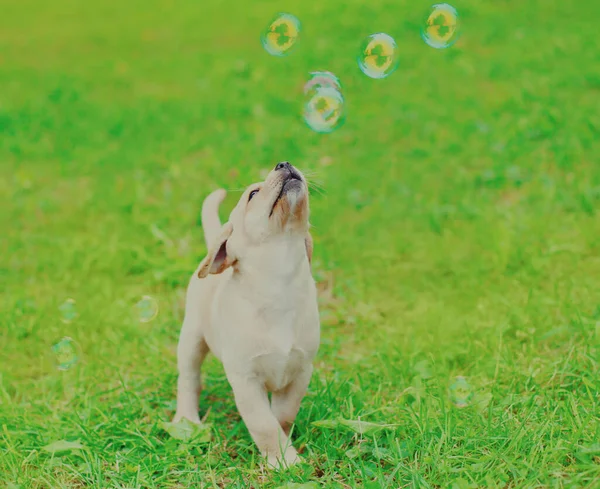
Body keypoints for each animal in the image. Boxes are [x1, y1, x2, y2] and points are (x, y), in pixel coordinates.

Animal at [173, 162, 322, 468]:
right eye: (253, 194)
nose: (284, 163)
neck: (279, 279)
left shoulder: (301, 371)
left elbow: (282, 416)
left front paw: (284, 448)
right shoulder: (246, 379)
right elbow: (264, 424)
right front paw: (283, 461)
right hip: (191, 339)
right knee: (188, 379)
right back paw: (186, 421)